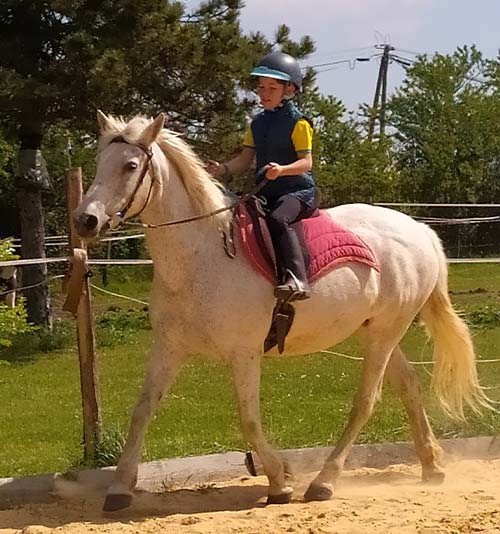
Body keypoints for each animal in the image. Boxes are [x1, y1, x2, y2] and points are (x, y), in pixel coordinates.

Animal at [75, 114, 492, 516]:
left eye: (130, 165)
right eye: (98, 162)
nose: (85, 220)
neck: (203, 255)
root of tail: (420, 230)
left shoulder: (244, 354)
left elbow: (248, 419)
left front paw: (280, 481)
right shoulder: (169, 348)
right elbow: (142, 411)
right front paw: (119, 488)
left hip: (384, 334)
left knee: (366, 402)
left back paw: (324, 482)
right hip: (376, 332)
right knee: (408, 385)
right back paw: (432, 466)